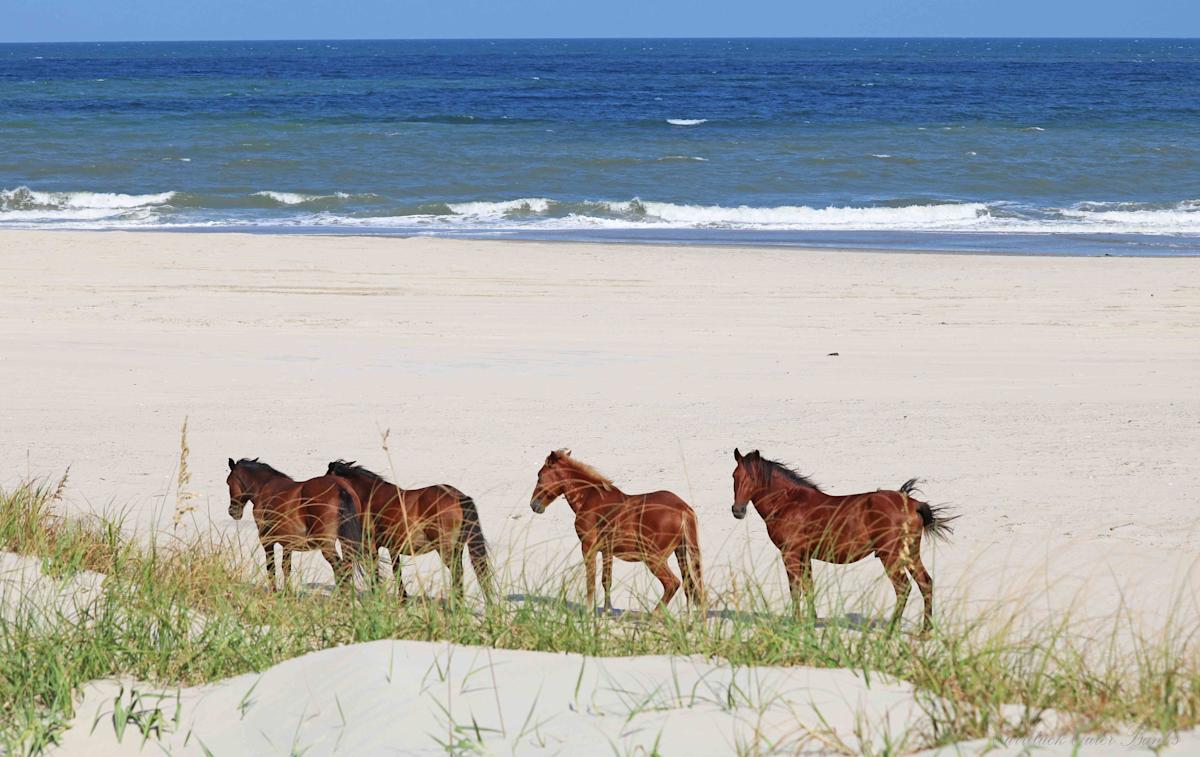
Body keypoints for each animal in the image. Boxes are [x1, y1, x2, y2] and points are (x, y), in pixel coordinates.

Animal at [226, 457, 365, 591]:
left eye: (228, 482)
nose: (232, 511)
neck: (265, 487)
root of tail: (340, 489)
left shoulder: (267, 540)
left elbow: (271, 568)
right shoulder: (287, 543)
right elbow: (286, 567)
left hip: (327, 545)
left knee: (341, 569)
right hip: (345, 543)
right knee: (347, 568)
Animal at [326, 460, 491, 602]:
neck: (369, 496)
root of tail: (458, 496)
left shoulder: (371, 546)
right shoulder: (393, 548)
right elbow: (397, 573)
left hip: (446, 549)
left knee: (457, 573)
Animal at [529, 449, 704, 612]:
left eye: (539, 476)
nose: (533, 505)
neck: (589, 498)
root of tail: (683, 508)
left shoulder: (588, 548)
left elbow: (590, 582)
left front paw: (589, 611)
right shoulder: (606, 550)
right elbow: (606, 581)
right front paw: (607, 612)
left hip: (653, 557)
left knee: (672, 583)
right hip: (680, 553)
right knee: (689, 586)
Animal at [730, 448, 955, 631]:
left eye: (753, 477)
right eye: (735, 476)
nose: (738, 510)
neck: (787, 503)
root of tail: (913, 503)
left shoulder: (790, 555)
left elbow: (795, 589)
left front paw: (796, 623)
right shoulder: (805, 556)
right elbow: (809, 587)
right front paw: (811, 621)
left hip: (890, 556)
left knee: (903, 588)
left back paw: (892, 629)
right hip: (910, 553)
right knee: (925, 583)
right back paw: (925, 631)